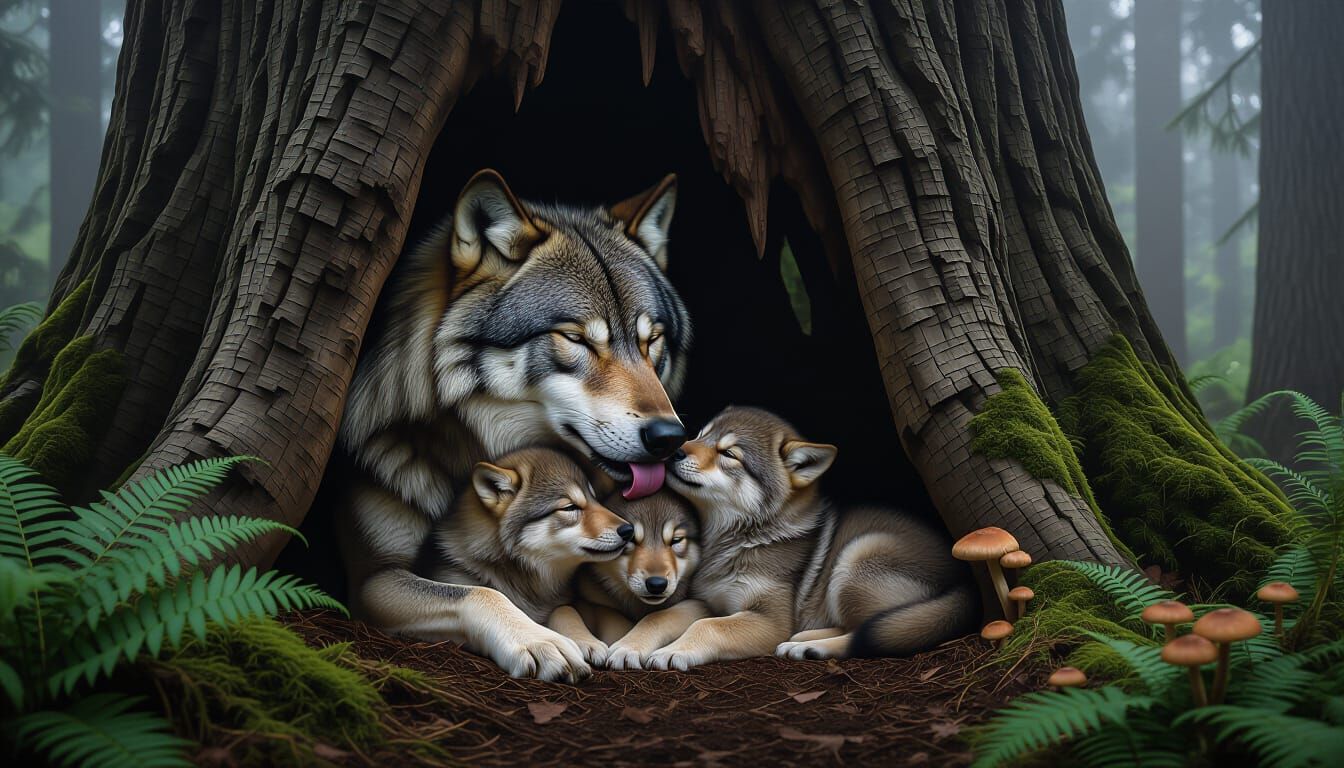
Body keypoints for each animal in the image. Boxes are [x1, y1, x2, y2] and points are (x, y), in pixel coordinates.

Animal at [429, 447, 633, 676]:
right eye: (570, 507)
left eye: (595, 501)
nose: (629, 530)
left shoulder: (562, 603)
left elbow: (566, 609)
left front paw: (585, 640)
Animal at [548, 491, 708, 669]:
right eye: (630, 538)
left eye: (676, 540)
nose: (657, 584)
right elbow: (563, 609)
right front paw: (587, 643)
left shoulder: (699, 605)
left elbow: (656, 617)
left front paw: (628, 648)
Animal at [653, 406, 977, 670]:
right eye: (699, 435)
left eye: (729, 454)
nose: (674, 451)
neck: (743, 537)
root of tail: (964, 579)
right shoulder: (709, 600)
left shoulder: (770, 619)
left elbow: (708, 626)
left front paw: (675, 651)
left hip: (856, 557)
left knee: (872, 632)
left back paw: (810, 646)